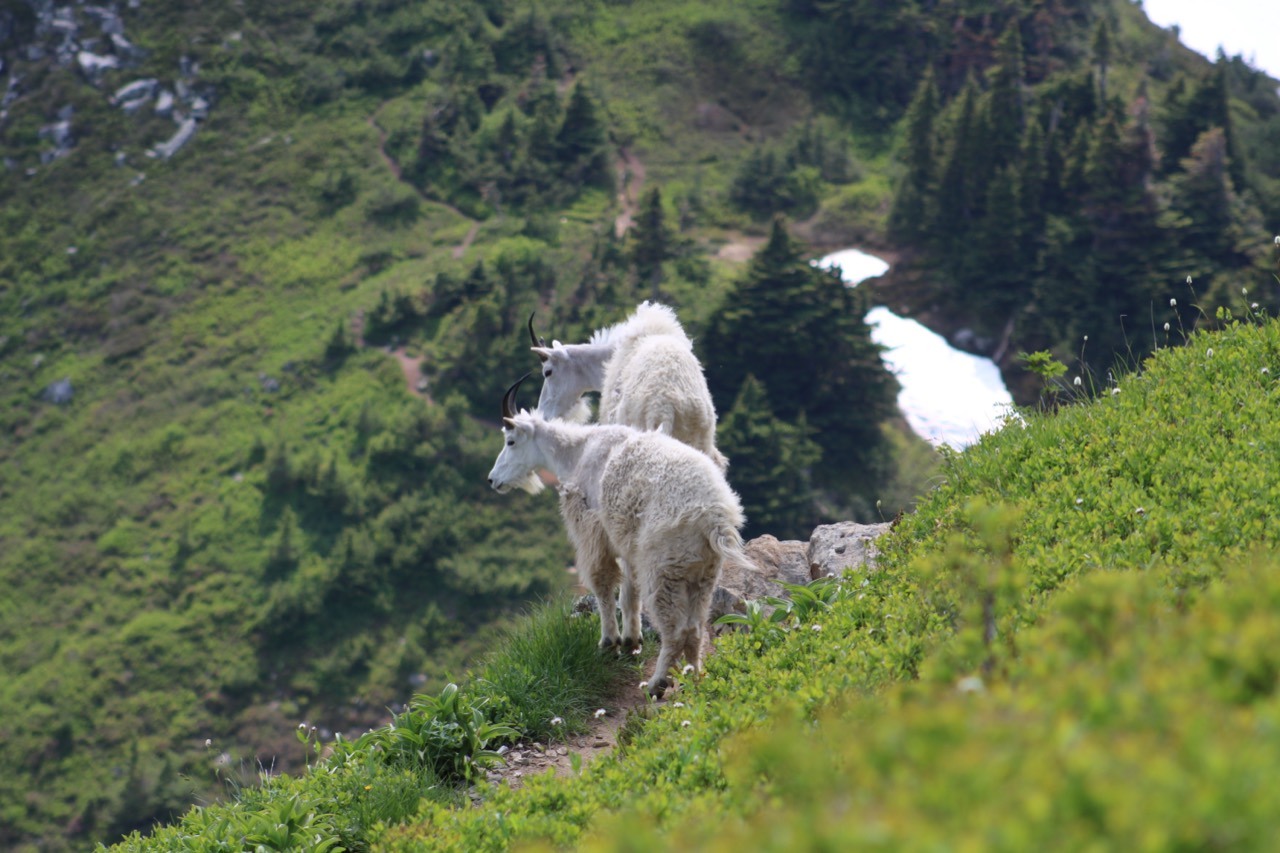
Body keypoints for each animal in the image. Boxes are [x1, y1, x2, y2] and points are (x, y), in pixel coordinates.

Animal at [488, 376, 745, 696]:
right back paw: (693, 676)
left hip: (663, 568)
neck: (577, 453)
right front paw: (631, 642)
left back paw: (657, 683)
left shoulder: (593, 530)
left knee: (675, 629)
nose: (493, 480)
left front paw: (609, 643)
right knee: (695, 628)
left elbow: (602, 582)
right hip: (703, 573)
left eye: (510, 441)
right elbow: (629, 593)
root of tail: (717, 518)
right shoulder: (628, 544)